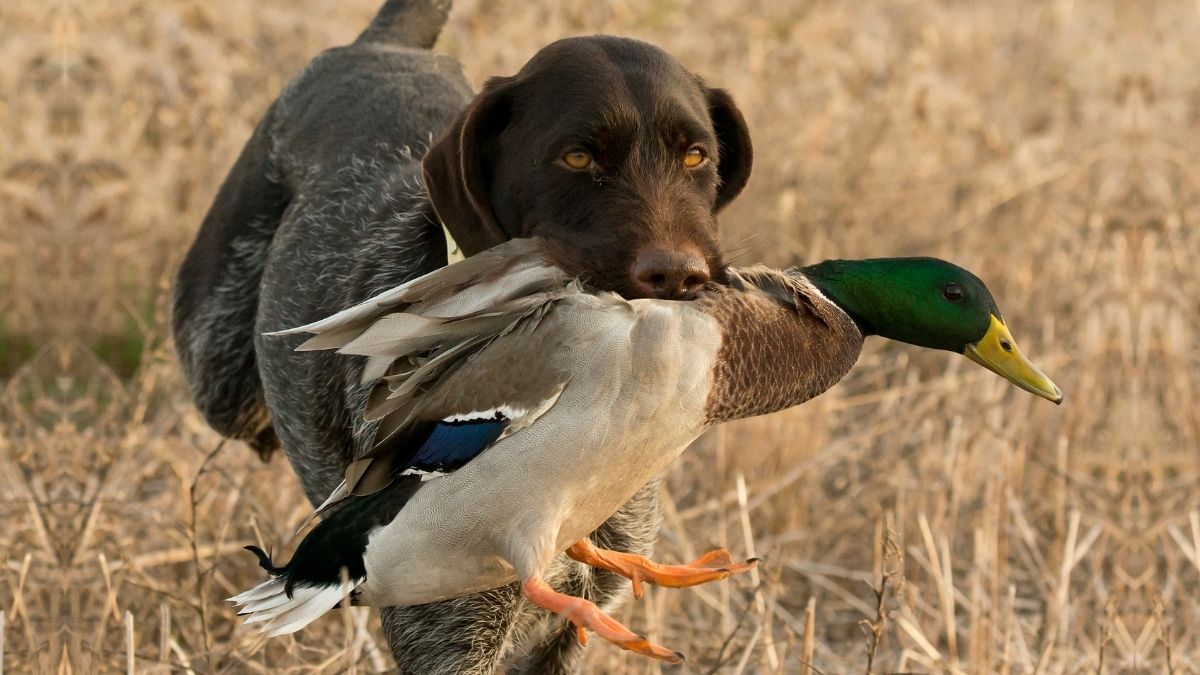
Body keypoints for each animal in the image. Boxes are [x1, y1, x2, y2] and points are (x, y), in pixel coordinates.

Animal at [171, 2, 748, 667]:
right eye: (577, 158)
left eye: (696, 157)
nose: (678, 275)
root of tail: (381, 46)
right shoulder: (448, 638)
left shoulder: (563, 630)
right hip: (219, 371)